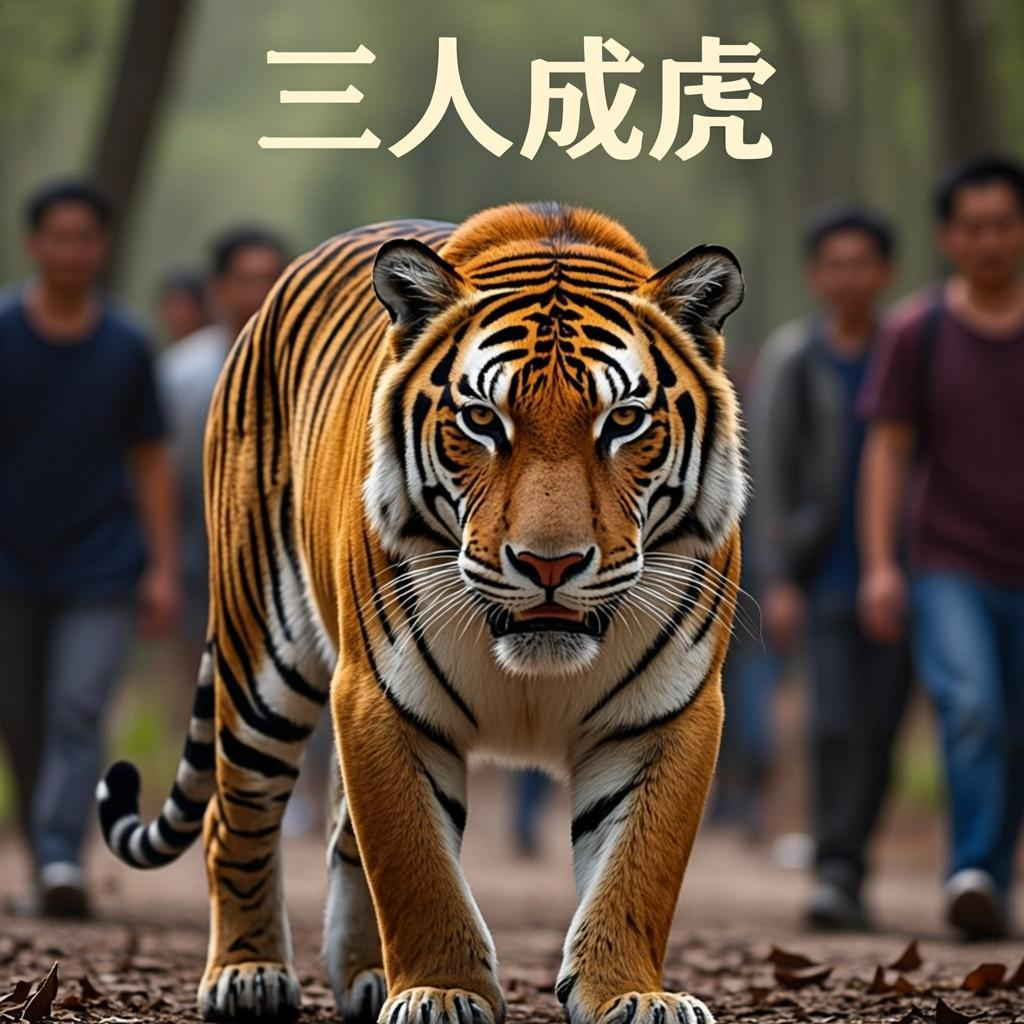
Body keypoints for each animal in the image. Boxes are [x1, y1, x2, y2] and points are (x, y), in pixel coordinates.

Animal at [96, 202, 747, 1024]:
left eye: (624, 421)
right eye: (482, 421)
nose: (550, 565)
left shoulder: (668, 714)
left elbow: (637, 871)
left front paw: (630, 994)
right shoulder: (379, 697)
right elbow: (415, 867)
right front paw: (441, 991)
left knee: (341, 833)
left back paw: (363, 975)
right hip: (261, 660)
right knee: (233, 814)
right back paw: (247, 975)